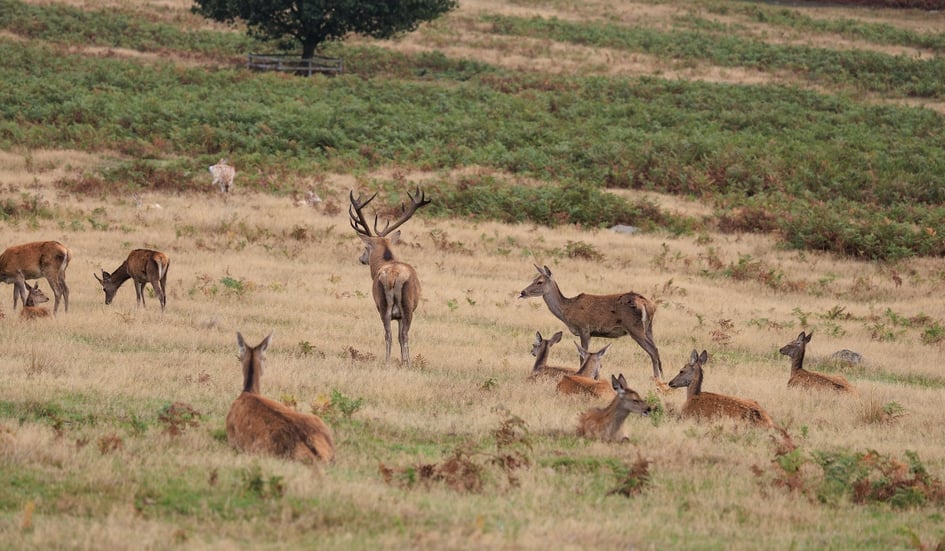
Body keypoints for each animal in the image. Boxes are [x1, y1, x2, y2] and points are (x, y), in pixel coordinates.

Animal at [349, 187, 431, 367]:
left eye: (366, 247)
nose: (361, 258)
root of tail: (393, 276)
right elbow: (400, 336)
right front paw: (403, 360)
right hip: (404, 306)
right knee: (400, 335)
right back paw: (404, 363)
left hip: (385, 305)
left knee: (392, 335)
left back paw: (393, 362)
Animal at [519, 265, 663, 381]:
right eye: (533, 279)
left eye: (540, 282)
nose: (522, 292)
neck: (567, 310)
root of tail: (648, 304)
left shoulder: (584, 328)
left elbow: (582, 356)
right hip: (649, 328)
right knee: (656, 349)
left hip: (634, 327)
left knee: (652, 350)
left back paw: (656, 378)